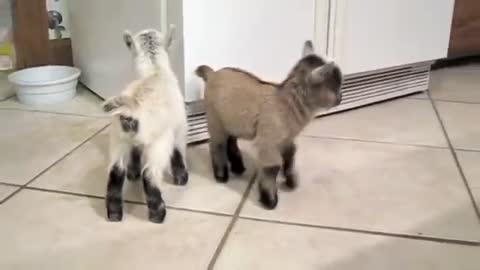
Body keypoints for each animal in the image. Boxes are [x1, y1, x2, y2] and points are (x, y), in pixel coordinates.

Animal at [102, 26, 188, 224]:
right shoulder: (178, 128)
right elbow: (178, 152)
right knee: (149, 174)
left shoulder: (133, 140)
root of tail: (131, 105)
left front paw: (132, 172)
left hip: (118, 138)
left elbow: (134, 153)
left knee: (116, 171)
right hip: (159, 143)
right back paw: (157, 213)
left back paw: (114, 213)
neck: (154, 71)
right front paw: (181, 177)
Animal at [197, 41, 344, 210]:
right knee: (217, 144)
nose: (341, 97)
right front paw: (269, 199)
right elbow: (272, 167)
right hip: (215, 119)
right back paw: (221, 175)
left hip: (232, 120)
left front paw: (291, 181)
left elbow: (290, 156)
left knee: (231, 141)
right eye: (335, 87)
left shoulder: (287, 140)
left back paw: (238, 167)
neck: (286, 103)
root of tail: (212, 73)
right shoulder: (268, 143)